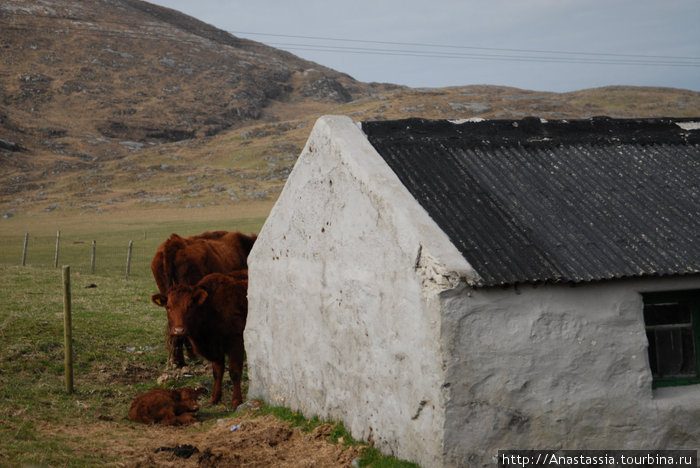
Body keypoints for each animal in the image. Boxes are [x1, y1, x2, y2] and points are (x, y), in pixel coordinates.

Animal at [152, 272, 249, 408]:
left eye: (190, 306)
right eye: (168, 307)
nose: (179, 330)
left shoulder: (236, 343)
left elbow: (234, 372)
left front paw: (236, 401)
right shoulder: (215, 348)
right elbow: (217, 373)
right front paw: (214, 399)